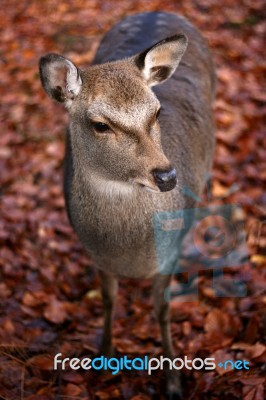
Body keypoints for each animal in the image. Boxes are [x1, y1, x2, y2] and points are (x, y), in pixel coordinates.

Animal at [39, 10, 215, 398]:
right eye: (100, 124)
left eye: (157, 112)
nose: (167, 176)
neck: (131, 253)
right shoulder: (97, 255)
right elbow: (108, 299)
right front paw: (104, 355)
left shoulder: (168, 254)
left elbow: (162, 310)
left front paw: (174, 381)